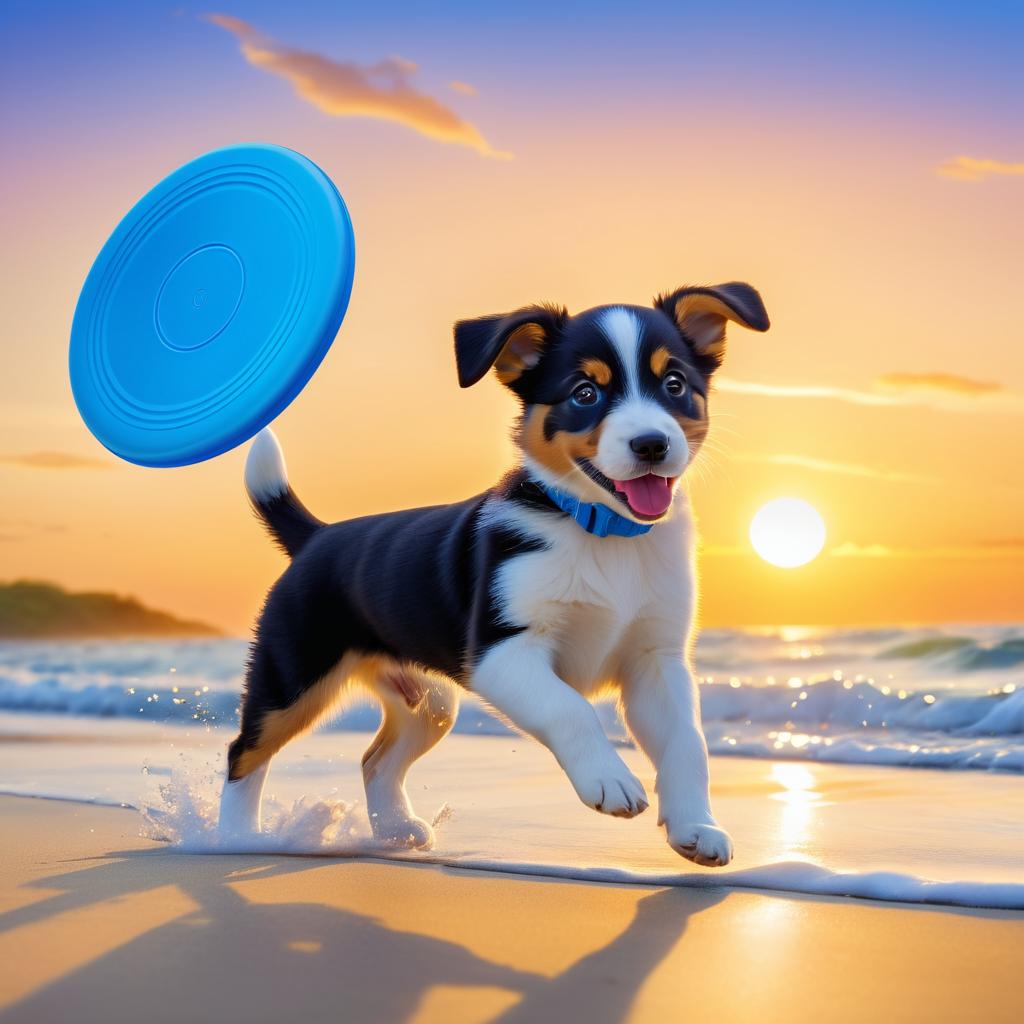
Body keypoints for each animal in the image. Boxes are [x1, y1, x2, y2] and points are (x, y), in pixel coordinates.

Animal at [220, 280, 770, 864]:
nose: (651, 444)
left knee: (375, 759)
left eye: (674, 384)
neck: (603, 534)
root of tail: (317, 536)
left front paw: (696, 827)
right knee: (244, 751)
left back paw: (396, 830)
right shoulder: (502, 650)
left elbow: (688, 742)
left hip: (430, 702)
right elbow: (571, 707)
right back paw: (234, 839)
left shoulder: (656, 660)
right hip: (291, 676)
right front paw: (610, 780)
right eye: (584, 393)